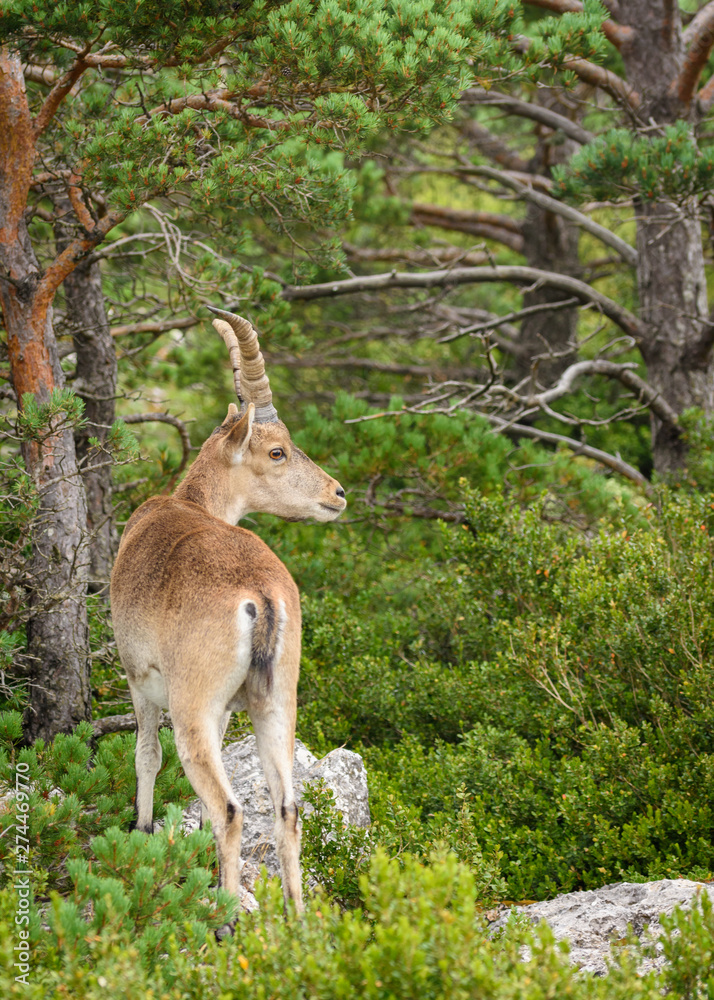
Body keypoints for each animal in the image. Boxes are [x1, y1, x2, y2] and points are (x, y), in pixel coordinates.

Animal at [110, 307, 346, 923]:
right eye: (277, 450)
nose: (338, 493)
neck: (189, 503)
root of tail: (260, 597)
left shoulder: (142, 683)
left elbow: (146, 756)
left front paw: (143, 828)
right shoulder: (225, 710)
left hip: (193, 706)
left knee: (231, 807)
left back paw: (224, 918)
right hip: (277, 701)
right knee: (286, 808)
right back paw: (297, 921)